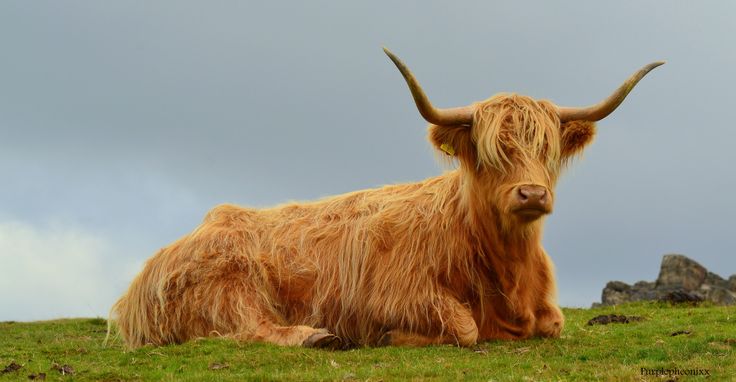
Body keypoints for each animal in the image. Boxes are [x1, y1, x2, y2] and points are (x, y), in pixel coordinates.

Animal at [110, 48, 668, 350]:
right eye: (491, 153)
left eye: (547, 152)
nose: (531, 193)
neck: (506, 270)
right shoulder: (398, 293)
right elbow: (464, 327)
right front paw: (390, 336)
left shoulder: (545, 313)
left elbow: (553, 324)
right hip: (230, 286)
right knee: (241, 328)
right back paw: (315, 336)